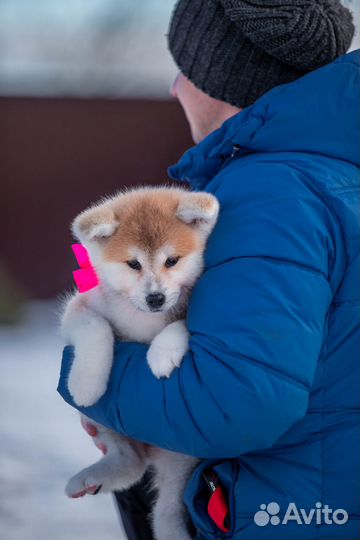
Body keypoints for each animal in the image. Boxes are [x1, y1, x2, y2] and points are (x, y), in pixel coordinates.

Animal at [61, 187, 218, 540]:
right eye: (133, 264)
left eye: (172, 260)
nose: (155, 298)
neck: (142, 318)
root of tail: (152, 452)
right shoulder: (81, 306)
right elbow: (95, 328)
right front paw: (86, 383)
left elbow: (180, 324)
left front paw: (162, 353)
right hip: (108, 422)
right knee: (130, 463)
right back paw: (92, 477)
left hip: (182, 455)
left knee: (166, 508)